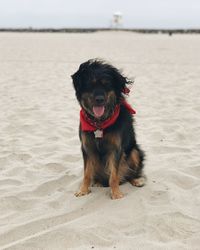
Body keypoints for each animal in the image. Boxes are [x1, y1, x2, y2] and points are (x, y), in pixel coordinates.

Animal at [71, 59, 145, 199]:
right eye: (91, 84)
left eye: (107, 85)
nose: (100, 99)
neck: (99, 123)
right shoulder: (87, 147)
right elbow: (87, 173)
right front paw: (83, 190)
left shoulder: (116, 148)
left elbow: (114, 175)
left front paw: (116, 193)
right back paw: (98, 182)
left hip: (134, 151)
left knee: (131, 173)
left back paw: (136, 180)